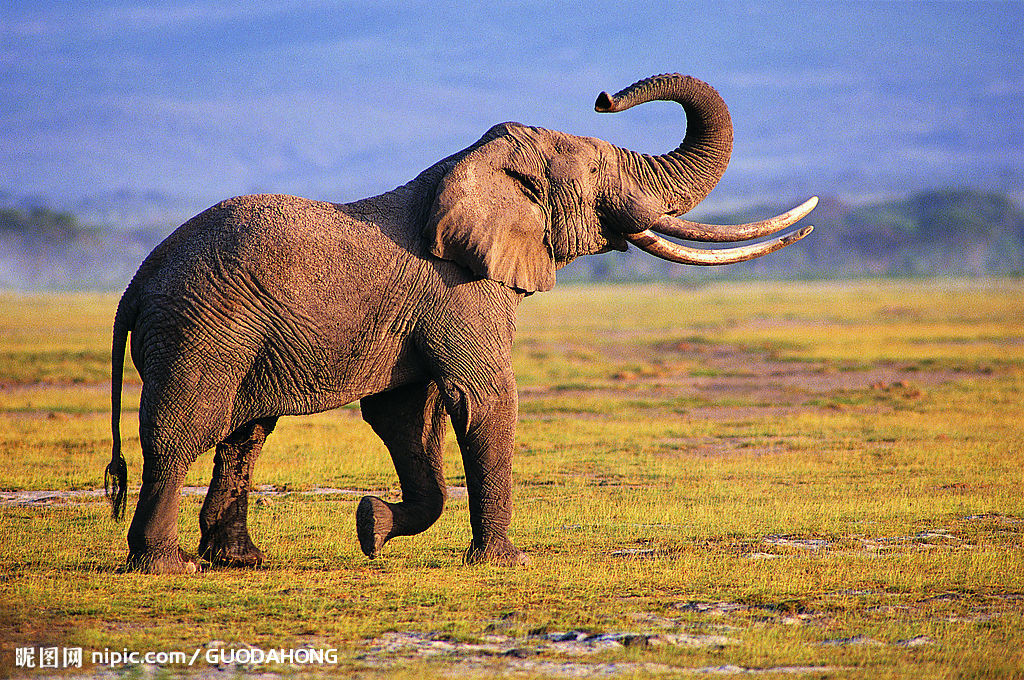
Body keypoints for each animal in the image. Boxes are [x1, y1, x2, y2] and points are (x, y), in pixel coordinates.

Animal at [105, 73, 815, 573]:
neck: (470, 165)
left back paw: (240, 560)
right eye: (598, 170)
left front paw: (371, 527)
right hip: (200, 323)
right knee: (183, 427)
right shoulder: (461, 290)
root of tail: (136, 284)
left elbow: (406, 417)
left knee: (244, 433)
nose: (604, 96)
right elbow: (483, 398)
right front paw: (505, 563)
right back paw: (165, 567)